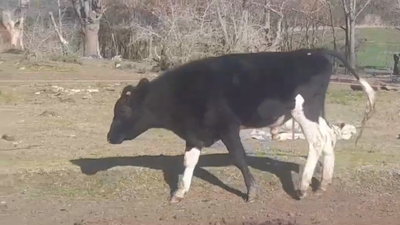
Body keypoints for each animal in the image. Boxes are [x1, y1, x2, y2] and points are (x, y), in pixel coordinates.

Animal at [105, 48, 376, 203]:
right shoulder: (194, 133)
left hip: (303, 109)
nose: (110, 137)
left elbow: (239, 158)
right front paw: (180, 192)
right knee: (329, 137)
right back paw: (324, 184)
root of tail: (313, 52)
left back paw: (302, 187)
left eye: (123, 110)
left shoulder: (228, 127)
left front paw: (252, 192)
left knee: (317, 141)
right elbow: (189, 161)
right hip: (316, 111)